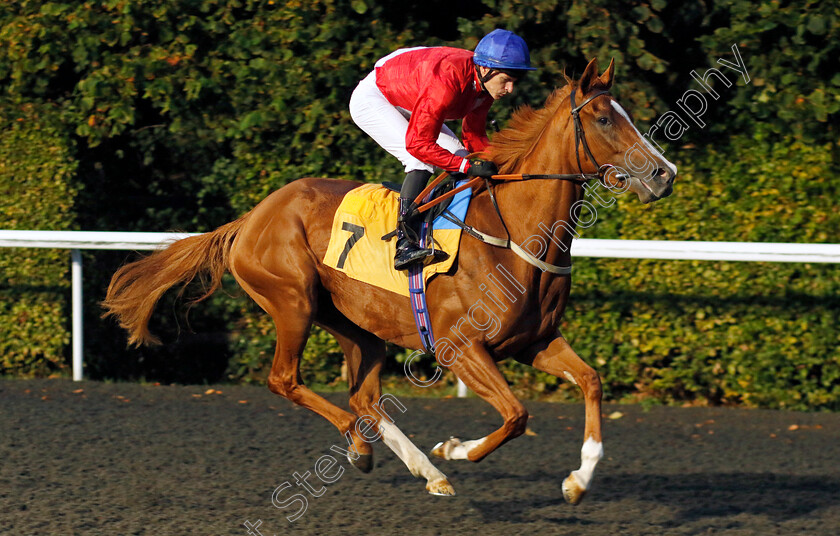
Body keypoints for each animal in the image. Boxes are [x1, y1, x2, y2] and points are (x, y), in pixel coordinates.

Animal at [103, 58, 676, 502]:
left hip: (356, 325)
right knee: (286, 381)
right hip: (293, 302)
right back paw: (364, 447)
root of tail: (250, 218)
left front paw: (578, 481)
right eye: (603, 118)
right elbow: (516, 415)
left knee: (365, 398)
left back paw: (427, 471)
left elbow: (591, 381)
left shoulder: (534, 340)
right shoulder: (460, 347)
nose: (664, 174)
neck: (513, 234)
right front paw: (457, 448)